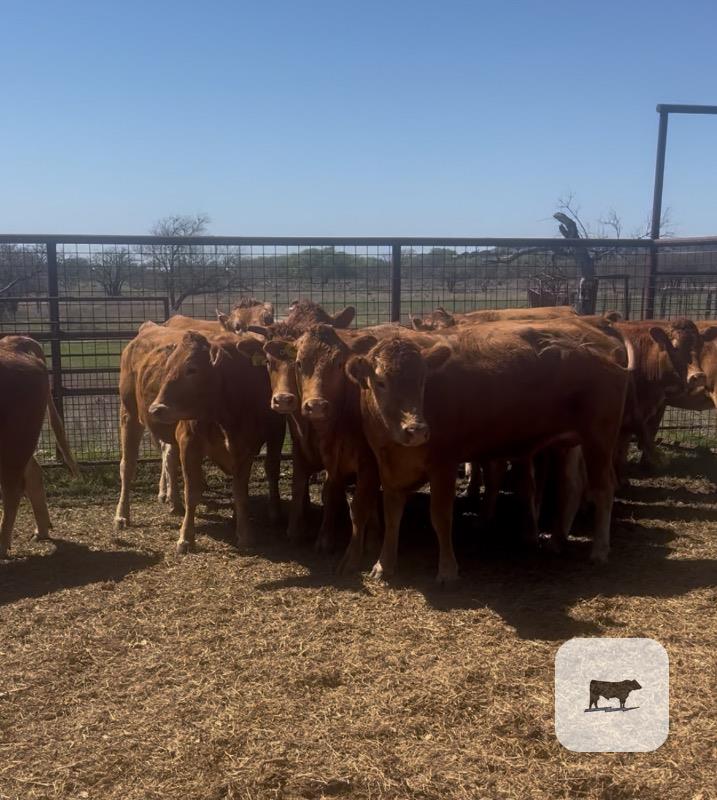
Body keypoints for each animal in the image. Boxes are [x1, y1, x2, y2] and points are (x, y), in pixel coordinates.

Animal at [146, 329, 285, 553]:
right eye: (168, 367)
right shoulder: (188, 445)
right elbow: (191, 492)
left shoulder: (244, 450)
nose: (156, 409)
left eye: (192, 369)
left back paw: (274, 512)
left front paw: (245, 535)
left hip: (277, 431)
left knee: (271, 469)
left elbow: (240, 492)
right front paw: (186, 537)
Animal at [345, 317, 631, 582]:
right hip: (569, 445)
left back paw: (599, 550)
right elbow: (393, 515)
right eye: (380, 382)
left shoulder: (444, 465)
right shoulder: (387, 467)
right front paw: (383, 565)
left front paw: (447, 570)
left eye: (423, 380)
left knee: (603, 489)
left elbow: (441, 517)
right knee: (572, 486)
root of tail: (605, 354)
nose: (416, 429)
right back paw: (557, 540)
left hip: (599, 439)